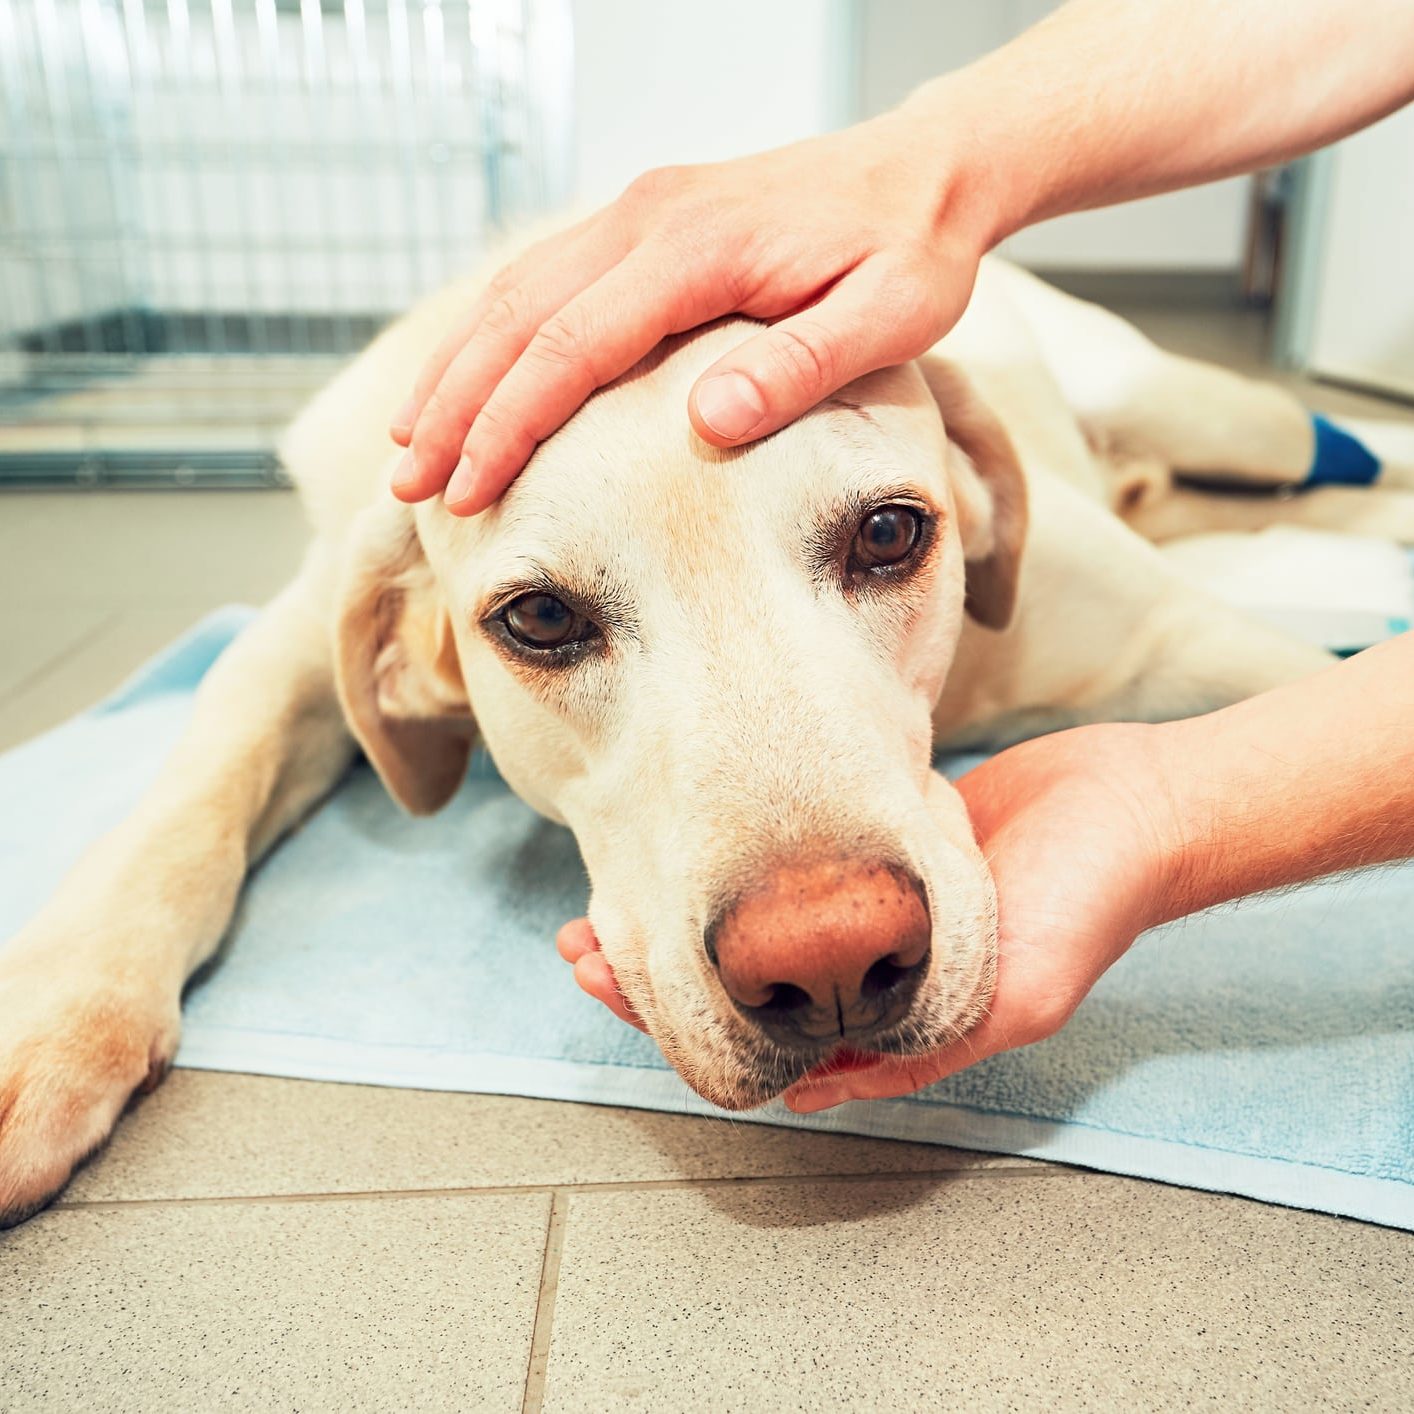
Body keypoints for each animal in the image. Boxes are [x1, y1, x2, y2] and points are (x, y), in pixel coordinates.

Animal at [2, 251, 1414, 1227]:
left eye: (890, 532)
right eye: (539, 617)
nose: (833, 961)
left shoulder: (1194, 635)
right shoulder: (296, 634)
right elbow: (188, 799)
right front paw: (55, 1019)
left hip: (1205, 409)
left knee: (1330, 454)